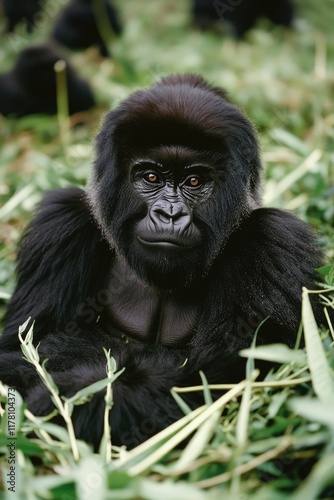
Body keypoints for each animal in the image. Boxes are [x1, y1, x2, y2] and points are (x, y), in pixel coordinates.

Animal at [0, 73, 324, 450]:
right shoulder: (59, 226)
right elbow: (20, 351)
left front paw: (79, 396)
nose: (169, 214)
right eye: (152, 177)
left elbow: (228, 373)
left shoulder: (272, 240)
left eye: (194, 181)